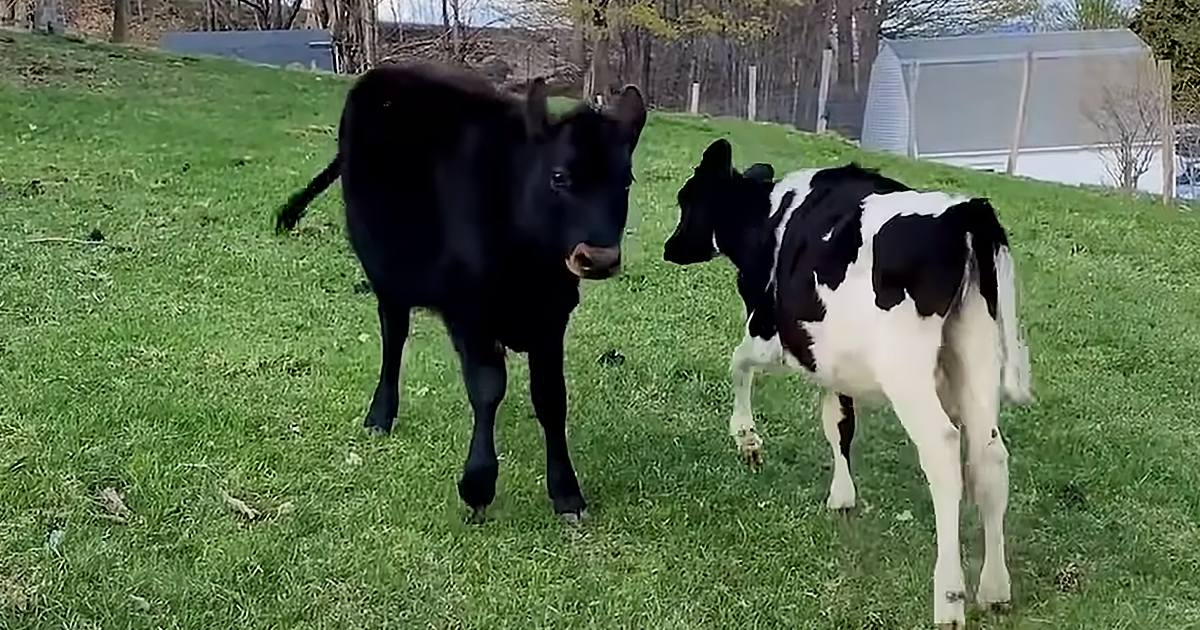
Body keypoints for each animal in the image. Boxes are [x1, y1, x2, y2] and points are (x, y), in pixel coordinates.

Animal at [274, 62, 647, 523]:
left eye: (626, 181)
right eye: (559, 176)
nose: (598, 258)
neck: (528, 267)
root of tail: (385, 73)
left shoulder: (552, 315)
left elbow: (551, 398)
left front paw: (566, 492)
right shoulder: (468, 311)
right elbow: (487, 388)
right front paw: (478, 485)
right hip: (384, 270)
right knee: (393, 337)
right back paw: (381, 414)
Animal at [663, 139, 1033, 628]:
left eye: (687, 200)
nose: (669, 247)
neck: (769, 217)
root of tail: (964, 213)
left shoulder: (772, 330)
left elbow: (738, 364)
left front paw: (747, 439)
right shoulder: (830, 357)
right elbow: (838, 420)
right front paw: (842, 495)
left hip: (906, 372)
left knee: (943, 450)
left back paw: (949, 599)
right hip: (976, 356)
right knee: (990, 456)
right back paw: (995, 588)